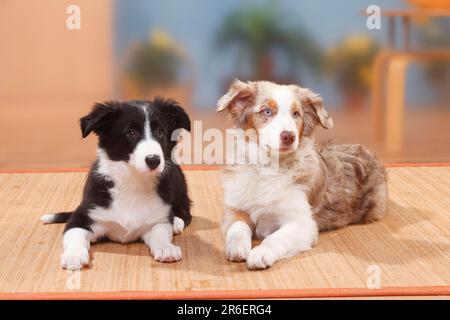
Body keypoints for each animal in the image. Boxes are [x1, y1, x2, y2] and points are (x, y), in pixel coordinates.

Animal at [40, 97, 192, 270]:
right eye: (131, 132)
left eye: (160, 131)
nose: (153, 160)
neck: (133, 181)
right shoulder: (83, 215)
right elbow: (74, 234)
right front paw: (74, 255)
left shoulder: (157, 220)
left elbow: (161, 233)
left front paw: (167, 247)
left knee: (185, 211)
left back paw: (176, 222)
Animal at [217, 80, 386, 270]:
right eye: (267, 111)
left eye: (296, 114)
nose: (288, 136)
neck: (268, 168)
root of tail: (365, 149)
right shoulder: (234, 209)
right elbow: (237, 228)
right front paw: (237, 247)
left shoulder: (302, 223)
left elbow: (276, 237)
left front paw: (261, 252)